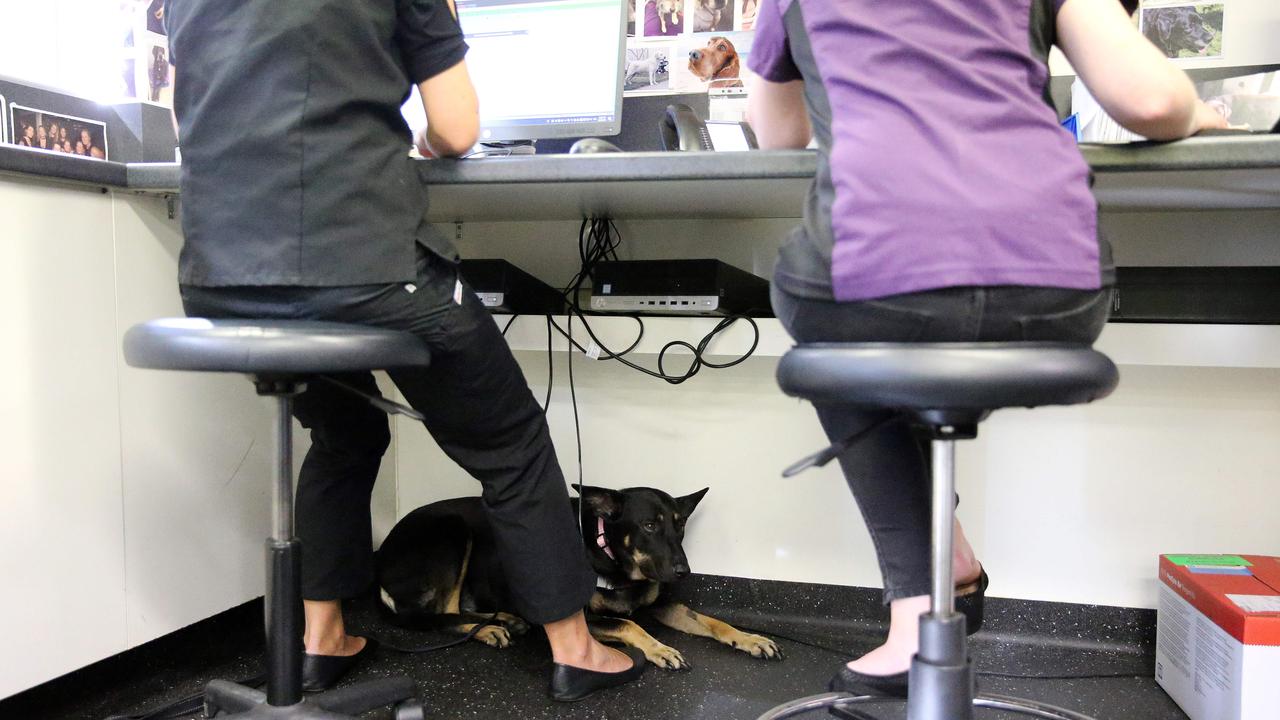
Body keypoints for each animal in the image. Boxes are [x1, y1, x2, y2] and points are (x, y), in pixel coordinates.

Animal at [373, 481, 783, 666]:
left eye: (679, 525)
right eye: (649, 525)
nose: (684, 572)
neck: (612, 555)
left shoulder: (662, 604)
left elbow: (712, 621)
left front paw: (749, 638)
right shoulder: (583, 617)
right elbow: (629, 624)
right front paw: (659, 648)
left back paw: (505, 619)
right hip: (454, 530)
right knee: (436, 614)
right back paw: (488, 629)